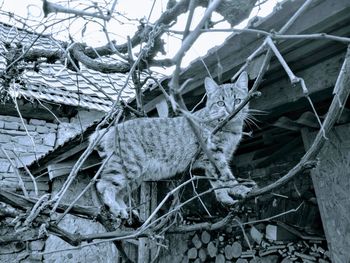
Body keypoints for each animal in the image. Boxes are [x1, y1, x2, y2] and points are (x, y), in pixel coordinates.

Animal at [90, 71, 254, 219]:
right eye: (221, 103)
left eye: (237, 101)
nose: (231, 110)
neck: (232, 129)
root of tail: (112, 128)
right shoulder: (214, 153)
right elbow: (227, 176)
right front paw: (241, 189)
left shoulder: (213, 160)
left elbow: (217, 182)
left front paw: (225, 199)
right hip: (129, 165)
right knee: (103, 185)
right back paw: (116, 209)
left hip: (137, 176)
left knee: (120, 192)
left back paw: (127, 212)